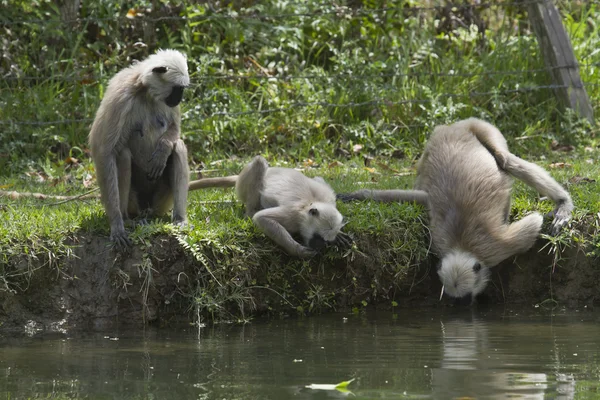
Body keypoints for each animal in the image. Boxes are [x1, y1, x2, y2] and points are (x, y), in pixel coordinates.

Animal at [89, 48, 190, 248]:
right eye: (178, 89)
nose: (180, 98)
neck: (146, 92)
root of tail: (146, 209)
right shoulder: (121, 96)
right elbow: (104, 152)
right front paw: (116, 224)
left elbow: (175, 129)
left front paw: (163, 150)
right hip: (133, 202)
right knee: (122, 153)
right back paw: (126, 219)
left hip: (161, 202)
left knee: (179, 146)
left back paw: (179, 218)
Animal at [188, 155, 352, 258]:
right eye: (318, 237)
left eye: (326, 241)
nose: (321, 246)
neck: (311, 203)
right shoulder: (293, 215)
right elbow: (262, 218)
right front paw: (297, 251)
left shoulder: (330, 198)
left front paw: (339, 236)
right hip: (243, 185)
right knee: (259, 162)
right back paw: (250, 212)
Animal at [340, 119, 576, 304]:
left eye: (466, 297)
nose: (464, 305)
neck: (460, 244)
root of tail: (456, 126)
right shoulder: (436, 231)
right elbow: (419, 197)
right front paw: (358, 195)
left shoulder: (497, 248)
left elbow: (534, 221)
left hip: (482, 128)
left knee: (504, 159)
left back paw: (562, 202)